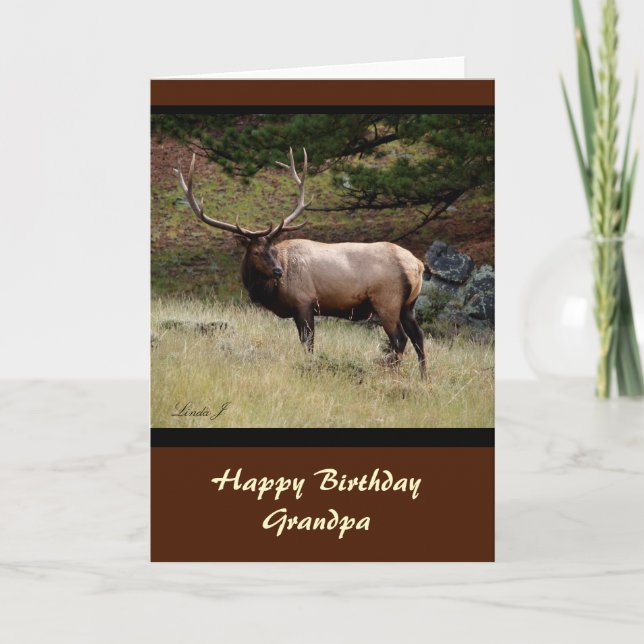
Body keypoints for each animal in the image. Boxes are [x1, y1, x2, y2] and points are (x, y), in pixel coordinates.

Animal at [174, 148, 427, 379]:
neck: (270, 292)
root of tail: (418, 265)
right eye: (256, 252)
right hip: (408, 305)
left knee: (399, 339)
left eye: (273, 249)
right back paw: (424, 378)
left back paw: (391, 374)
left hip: (387, 301)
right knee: (419, 337)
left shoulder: (303, 301)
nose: (278, 271)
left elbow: (308, 343)